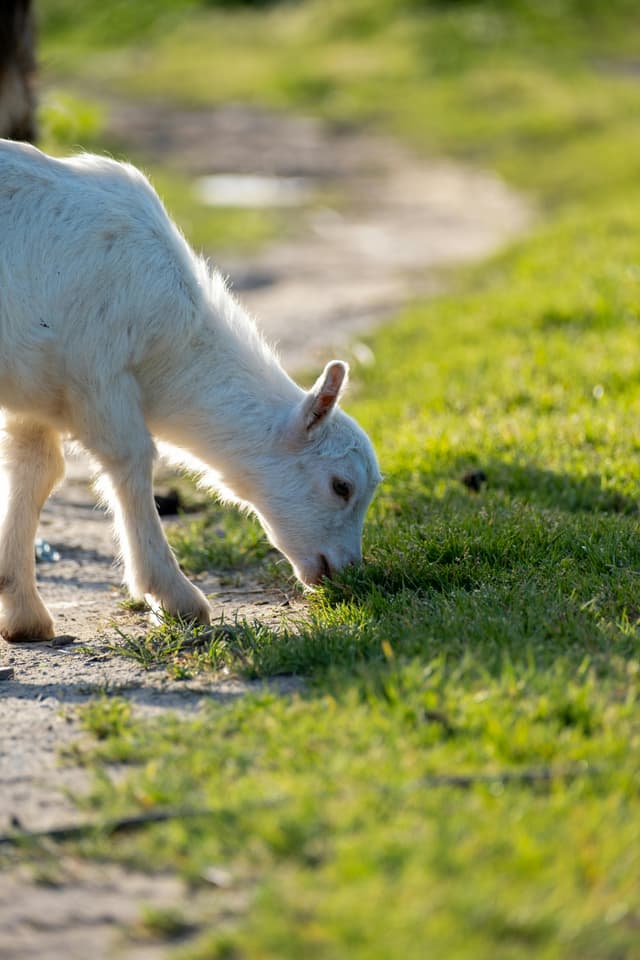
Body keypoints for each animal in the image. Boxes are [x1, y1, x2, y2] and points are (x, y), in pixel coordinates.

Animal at [0, 140, 381, 641]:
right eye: (341, 486)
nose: (346, 571)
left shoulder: (35, 394)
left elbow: (35, 470)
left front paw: (22, 609)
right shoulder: (98, 375)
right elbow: (130, 461)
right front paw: (174, 596)